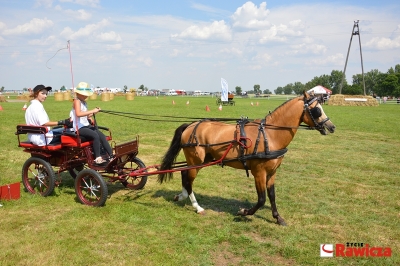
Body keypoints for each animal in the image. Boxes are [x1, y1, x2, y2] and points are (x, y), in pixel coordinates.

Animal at [158, 91, 336, 224]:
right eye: (317, 110)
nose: (331, 126)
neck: (270, 134)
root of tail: (191, 125)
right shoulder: (259, 172)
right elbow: (262, 199)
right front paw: (244, 212)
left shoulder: (272, 172)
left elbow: (272, 195)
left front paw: (278, 218)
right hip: (196, 160)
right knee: (188, 179)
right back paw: (197, 207)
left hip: (201, 160)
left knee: (184, 174)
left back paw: (181, 196)